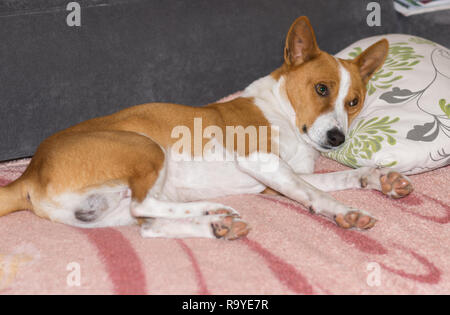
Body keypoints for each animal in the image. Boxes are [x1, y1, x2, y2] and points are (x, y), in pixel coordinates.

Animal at [0, 16, 412, 239]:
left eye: (353, 101)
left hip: (102, 212)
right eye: (321, 89)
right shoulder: (262, 161)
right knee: (143, 204)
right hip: (146, 148)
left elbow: (329, 180)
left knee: (147, 223)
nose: (336, 138)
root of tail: (29, 174)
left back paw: (214, 224)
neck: (285, 115)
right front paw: (343, 211)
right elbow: (315, 192)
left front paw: (377, 179)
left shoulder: (279, 176)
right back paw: (212, 209)